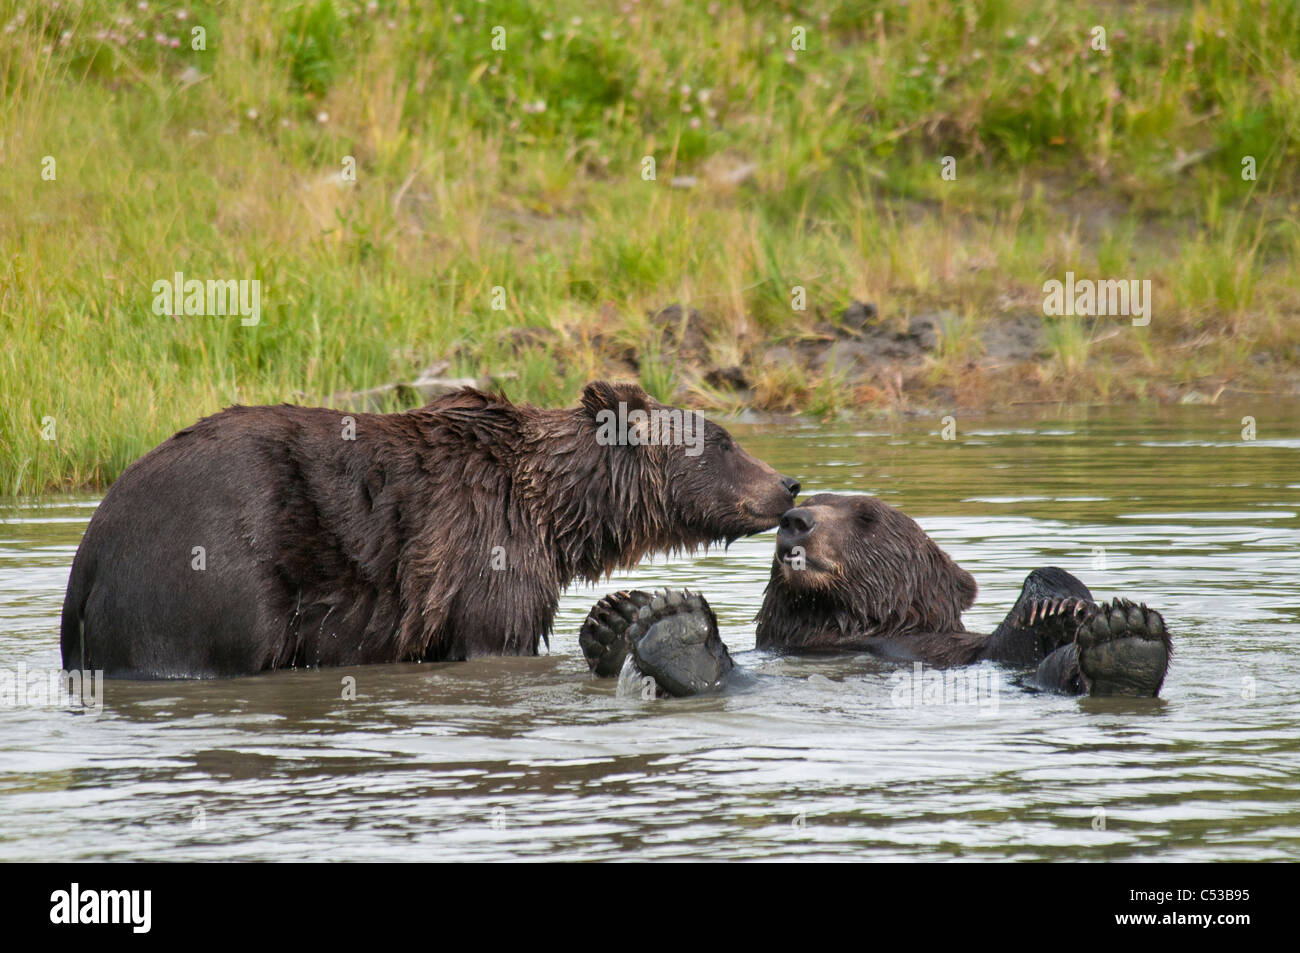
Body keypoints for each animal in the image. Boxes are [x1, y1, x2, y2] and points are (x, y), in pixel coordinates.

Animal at [63, 379, 800, 676]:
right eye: (724, 440)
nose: (787, 485)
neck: (556, 512)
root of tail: (91, 548)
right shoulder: (485, 554)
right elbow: (496, 635)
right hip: (202, 583)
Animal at [579, 494, 1170, 696]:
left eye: (866, 516)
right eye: (808, 499)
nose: (796, 521)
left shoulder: (948, 649)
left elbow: (1012, 642)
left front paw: (1055, 600)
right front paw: (615, 614)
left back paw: (1127, 642)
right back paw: (672, 634)